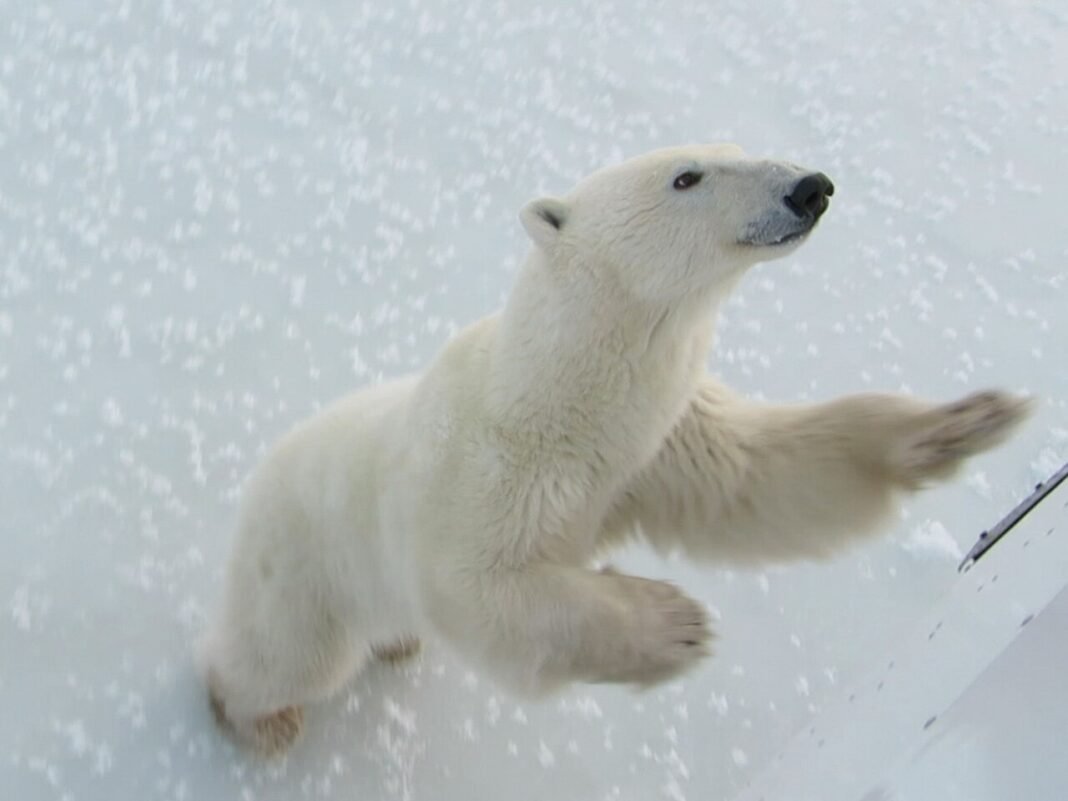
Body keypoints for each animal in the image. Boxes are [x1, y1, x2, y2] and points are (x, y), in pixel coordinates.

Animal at [197, 143, 1033, 756]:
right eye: (688, 174)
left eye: (740, 148)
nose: (811, 187)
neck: (562, 400)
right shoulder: (481, 478)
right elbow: (485, 590)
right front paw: (672, 621)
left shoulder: (656, 444)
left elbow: (757, 477)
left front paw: (963, 420)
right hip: (305, 566)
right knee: (290, 656)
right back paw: (257, 716)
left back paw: (397, 644)